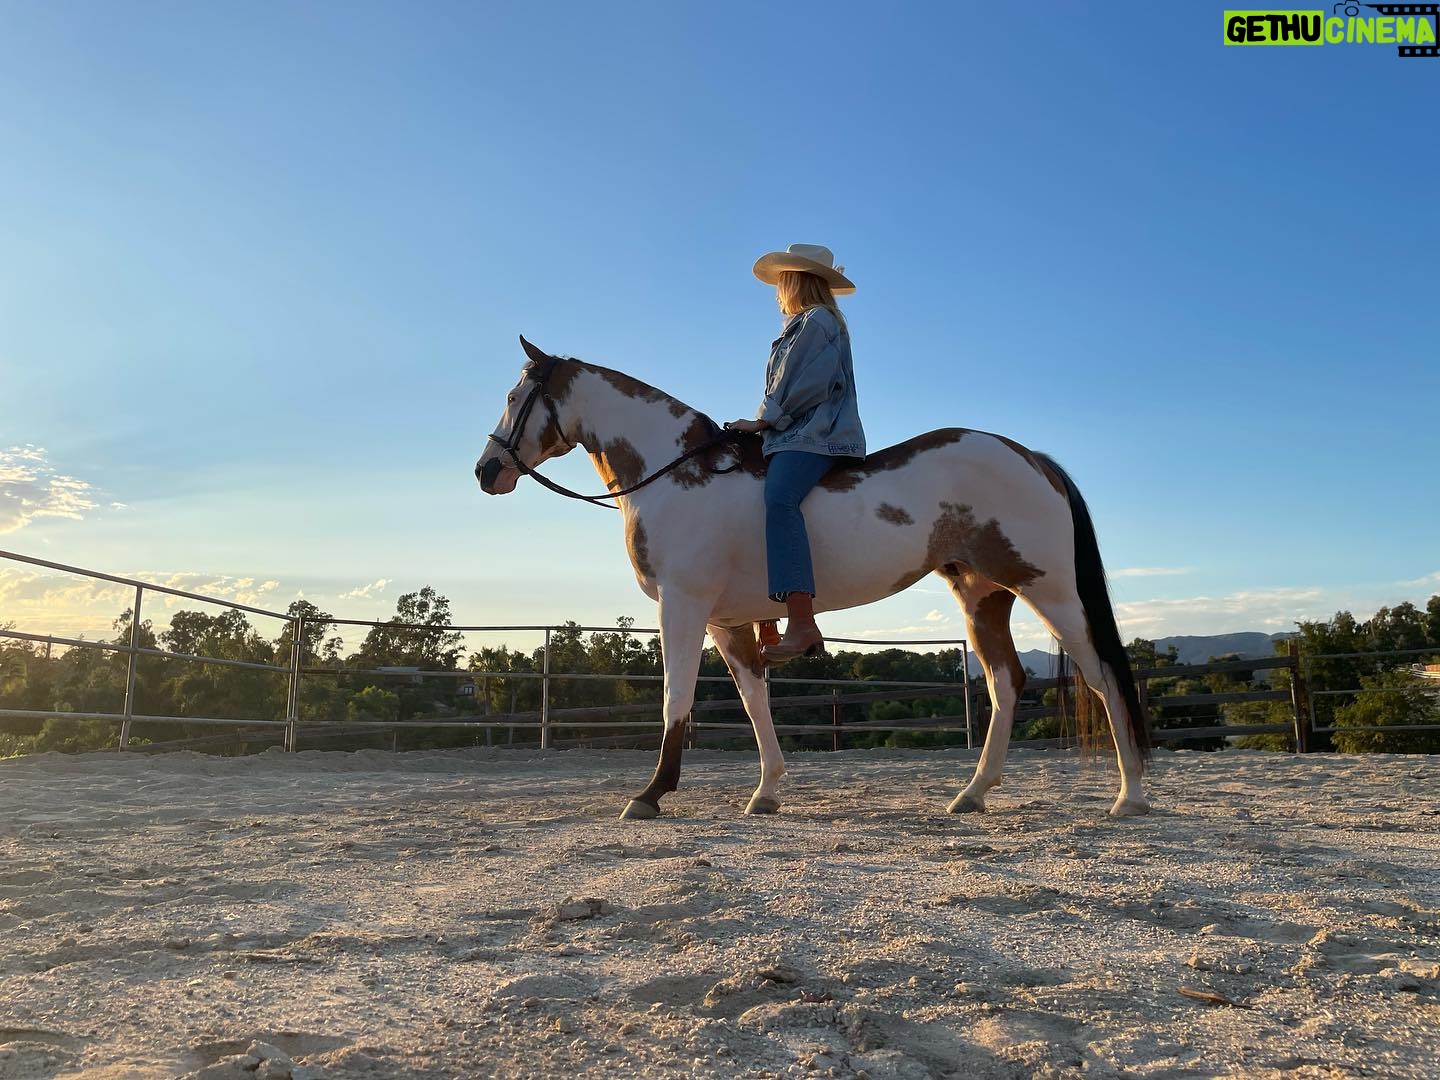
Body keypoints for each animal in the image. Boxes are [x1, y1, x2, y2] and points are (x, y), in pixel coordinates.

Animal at [475, 336, 1152, 819]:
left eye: (513, 397)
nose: (486, 471)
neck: (676, 473)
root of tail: (1031, 457)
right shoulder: (726, 621)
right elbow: (754, 701)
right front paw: (767, 791)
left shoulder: (682, 605)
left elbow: (677, 698)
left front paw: (651, 794)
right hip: (982, 594)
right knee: (1005, 682)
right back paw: (973, 793)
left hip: (1049, 589)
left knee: (1100, 674)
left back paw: (1130, 795)